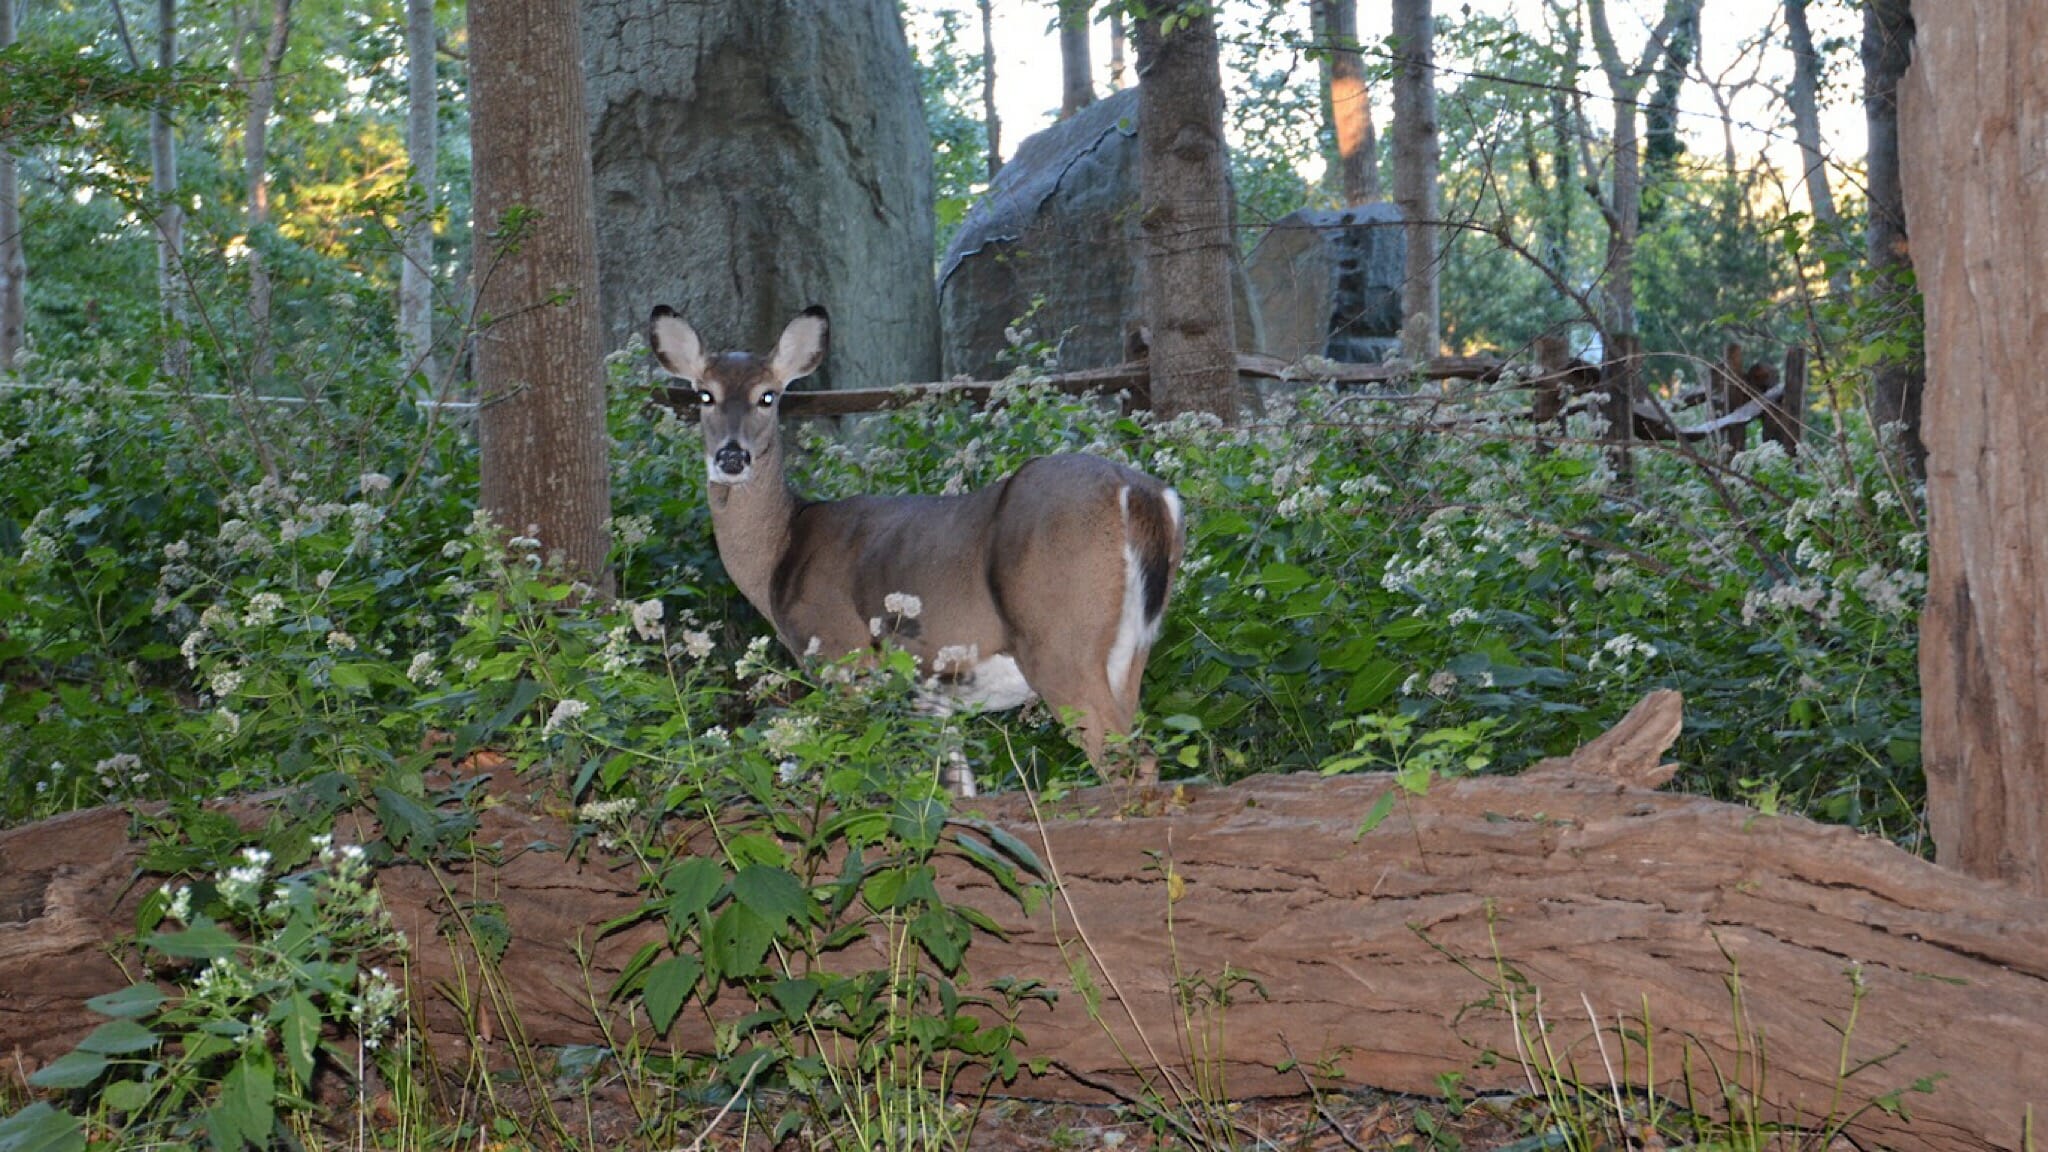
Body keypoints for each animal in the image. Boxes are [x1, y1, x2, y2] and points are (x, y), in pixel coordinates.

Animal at [647, 304, 1185, 792]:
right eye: (705, 394)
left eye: (768, 397)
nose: (731, 457)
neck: (782, 552)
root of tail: (1140, 494)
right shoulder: (931, 695)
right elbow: (953, 790)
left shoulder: (839, 655)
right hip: (1132, 648)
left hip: (1059, 640)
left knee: (1127, 760)